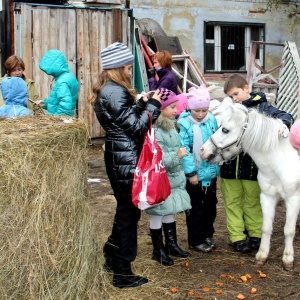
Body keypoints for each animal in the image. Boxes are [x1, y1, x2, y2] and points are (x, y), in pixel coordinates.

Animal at [200, 101, 300, 270]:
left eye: (225, 129)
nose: (203, 151)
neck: (282, 163)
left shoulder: (293, 200)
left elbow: (288, 231)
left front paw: (288, 259)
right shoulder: (267, 197)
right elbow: (266, 227)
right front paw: (262, 255)